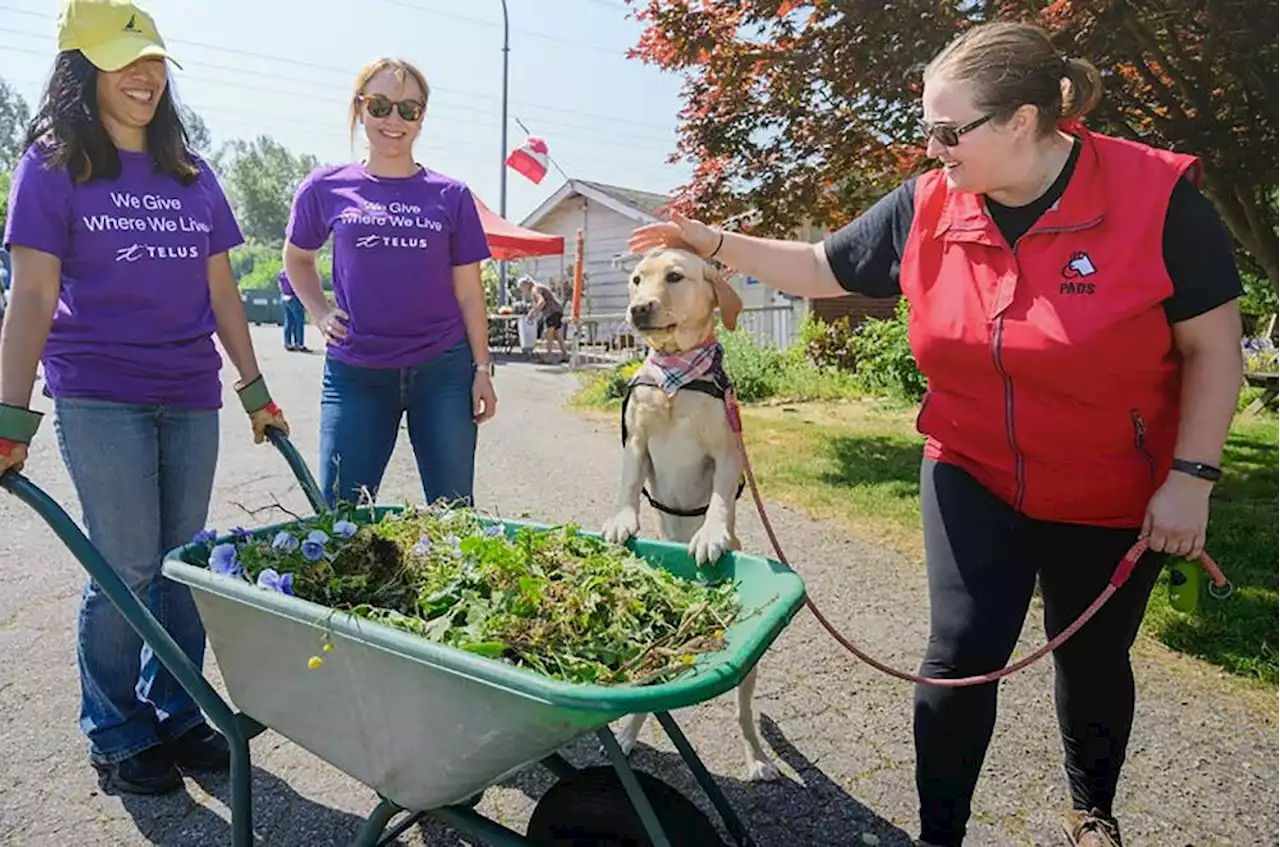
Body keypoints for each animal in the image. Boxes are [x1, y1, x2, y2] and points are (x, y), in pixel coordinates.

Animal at [599, 245, 778, 783]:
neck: (675, 377)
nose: (638, 309)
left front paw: (712, 534)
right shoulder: (635, 441)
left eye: (675, 277)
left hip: (749, 675)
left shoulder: (726, 450)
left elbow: (720, 498)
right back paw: (626, 735)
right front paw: (622, 521)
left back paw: (757, 757)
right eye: (637, 279)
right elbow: (628, 486)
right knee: (644, 700)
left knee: (744, 713)